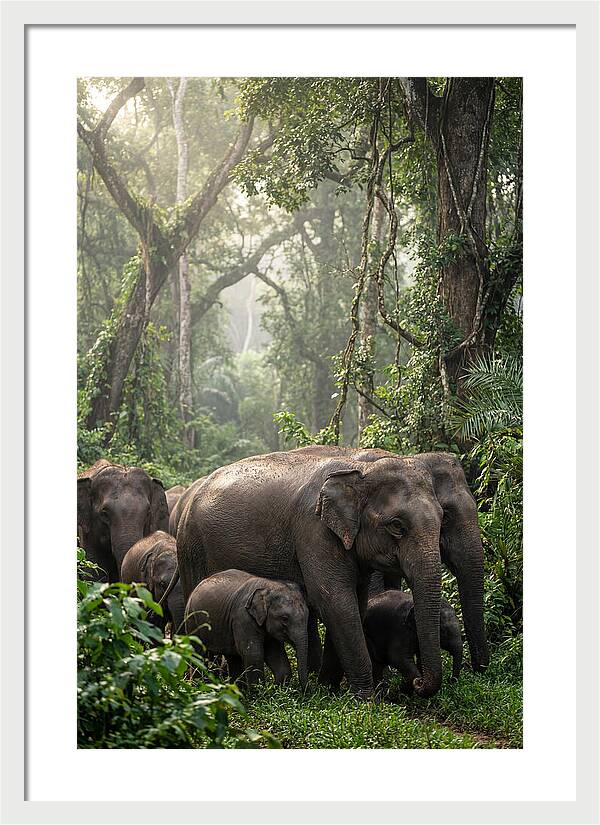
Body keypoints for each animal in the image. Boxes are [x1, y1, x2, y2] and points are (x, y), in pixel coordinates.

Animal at [176, 447, 447, 699]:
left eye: (443, 518)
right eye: (397, 526)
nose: (417, 683)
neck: (361, 470)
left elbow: (354, 603)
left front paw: (328, 689)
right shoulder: (314, 531)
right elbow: (334, 600)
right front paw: (365, 699)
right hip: (191, 549)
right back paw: (204, 680)